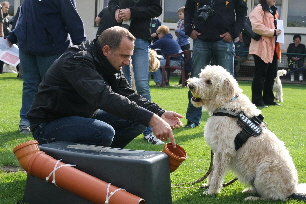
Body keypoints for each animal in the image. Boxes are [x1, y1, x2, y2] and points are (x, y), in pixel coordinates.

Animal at [188, 65, 304, 201]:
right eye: (201, 76)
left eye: (209, 82)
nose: (190, 85)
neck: (227, 103)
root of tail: (292, 191)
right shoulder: (217, 151)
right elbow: (213, 170)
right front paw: (207, 185)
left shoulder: (224, 151)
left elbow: (217, 174)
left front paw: (211, 191)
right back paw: (249, 191)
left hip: (265, 170)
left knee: (272, 197)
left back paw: (253, 198)